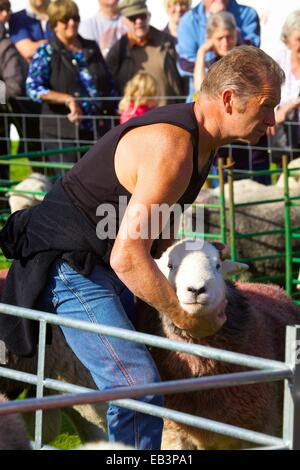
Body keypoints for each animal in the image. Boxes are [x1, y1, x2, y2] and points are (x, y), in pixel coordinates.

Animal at [139, 241, 300, 450]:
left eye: (217, 266)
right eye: (169, 266)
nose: (196, 290)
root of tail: (269, 285)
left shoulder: (257, 432)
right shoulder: (173, 431)